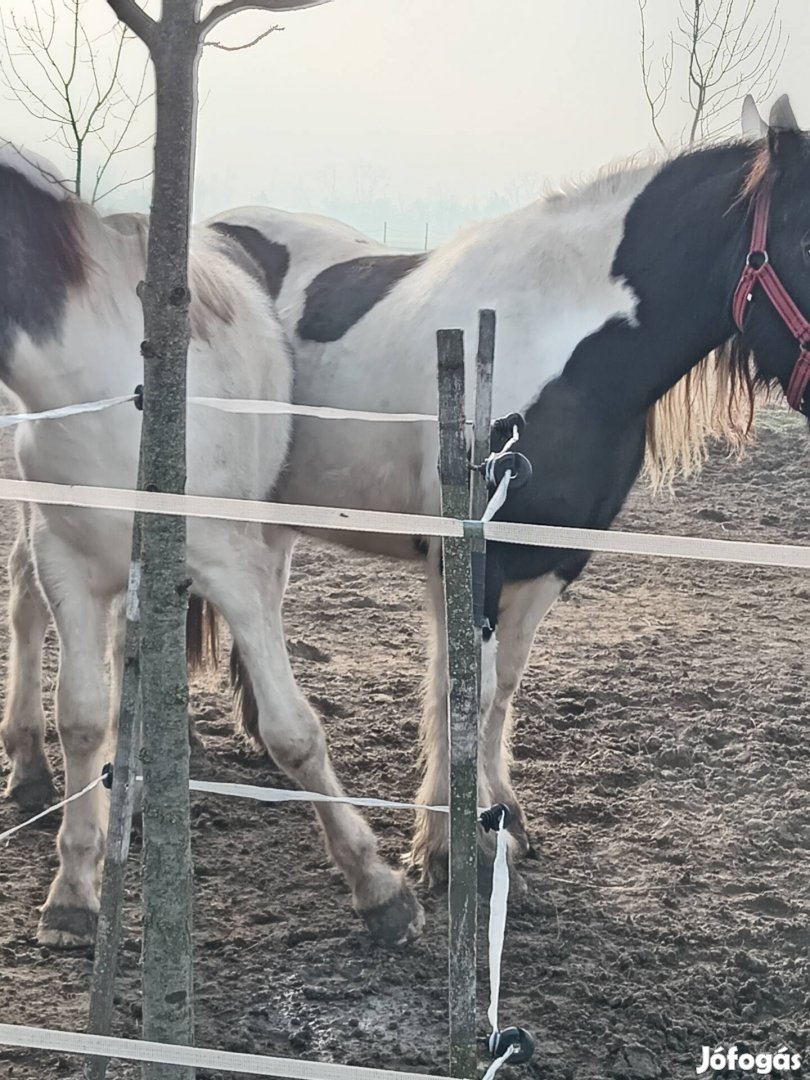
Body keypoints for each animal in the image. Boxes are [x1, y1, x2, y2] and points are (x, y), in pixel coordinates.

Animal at [1, 97, 810, 946]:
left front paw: (499, 817)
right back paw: (37, 771)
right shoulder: (472, 558)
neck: (560, 341)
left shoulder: (546, 565)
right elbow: (462, 692)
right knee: (29, 594)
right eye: (808, 239)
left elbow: (500, 691)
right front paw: (451, 847)